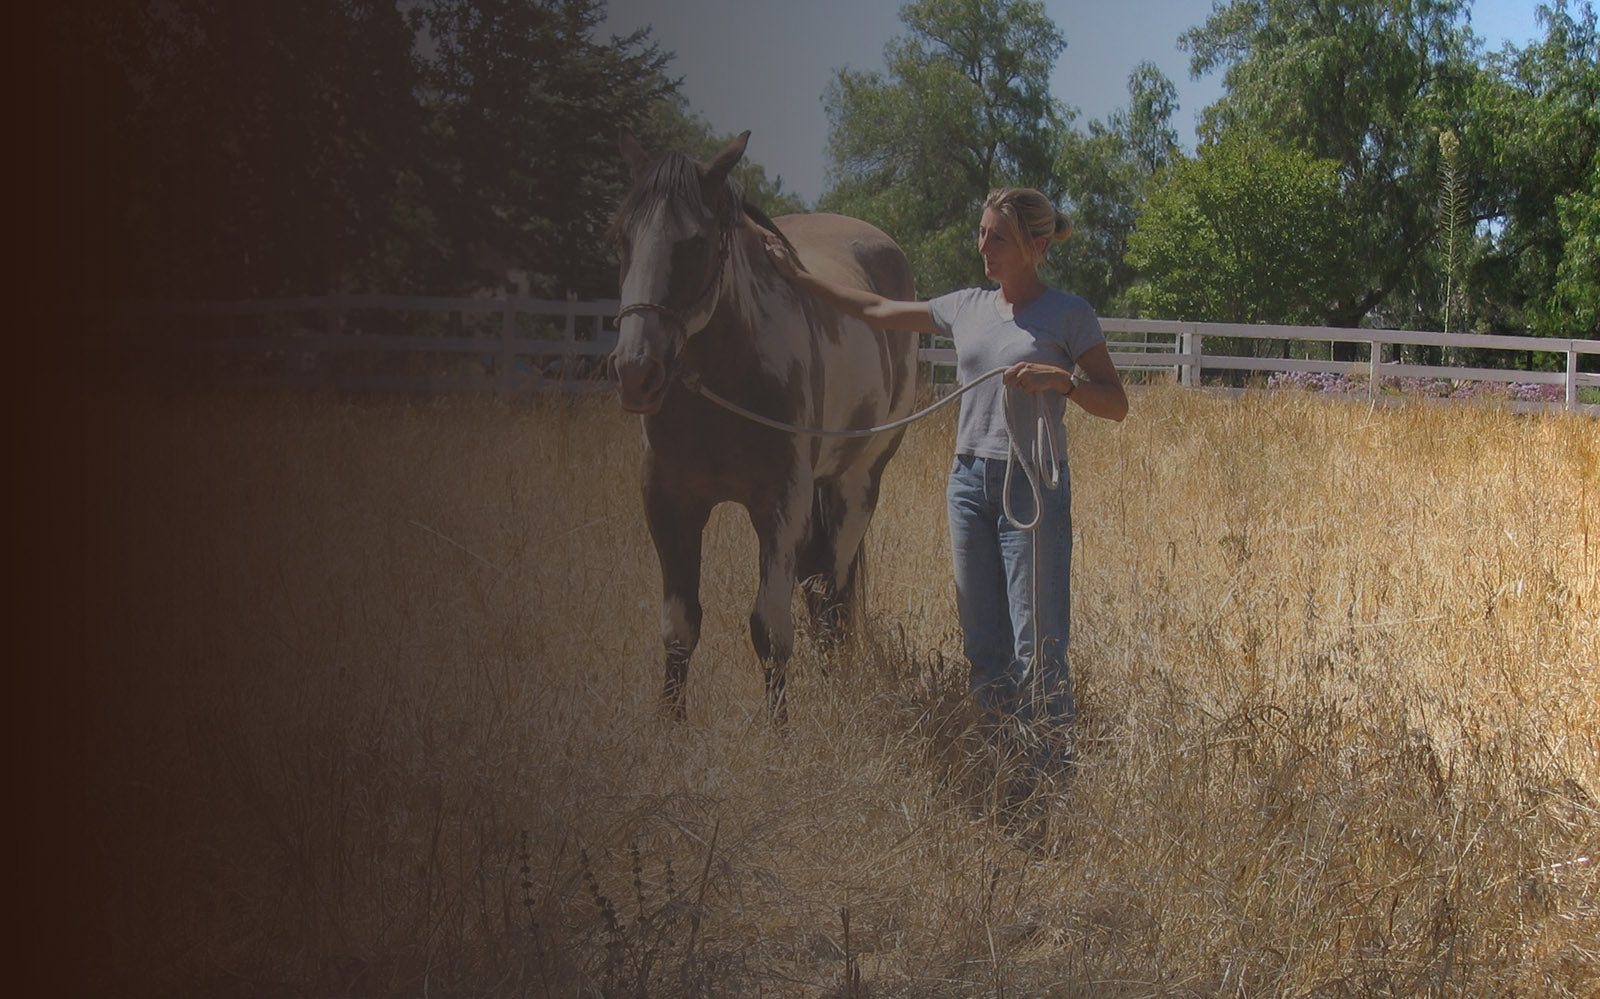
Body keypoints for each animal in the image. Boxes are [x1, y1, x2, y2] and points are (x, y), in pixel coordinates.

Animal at [607, 129, 919, 720]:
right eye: (622, 238)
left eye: (696, 242)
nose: (636, 372)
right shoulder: (666, 501)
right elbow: (679, 627)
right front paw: (670, 725)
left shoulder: (780, 504)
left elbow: (770, 631)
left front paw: (781, 731)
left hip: (857, 483)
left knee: (828, 595)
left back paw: (831, 690)